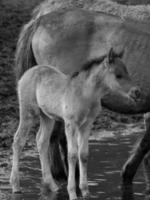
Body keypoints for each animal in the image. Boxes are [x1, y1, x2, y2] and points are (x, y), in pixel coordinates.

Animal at [10, 47, 137, 199]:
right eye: (118, 75)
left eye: (127, 72)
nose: (137, 92)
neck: (86, 94)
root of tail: (29, 72)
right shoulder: (71, 124)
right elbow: (72, 155)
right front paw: (72, 193)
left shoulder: (87, 125)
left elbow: (83, 154)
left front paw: (86, 192)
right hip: (28, 112)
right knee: (18, 140)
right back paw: (15, 186)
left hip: (47, 116)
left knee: (41, 141)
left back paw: (52, 186)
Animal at [15, 0, 150, 188]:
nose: (137, 92)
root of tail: (41, 20)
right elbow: (145, 143)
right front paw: (127, 175)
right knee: (57, 138)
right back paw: (67, 176)